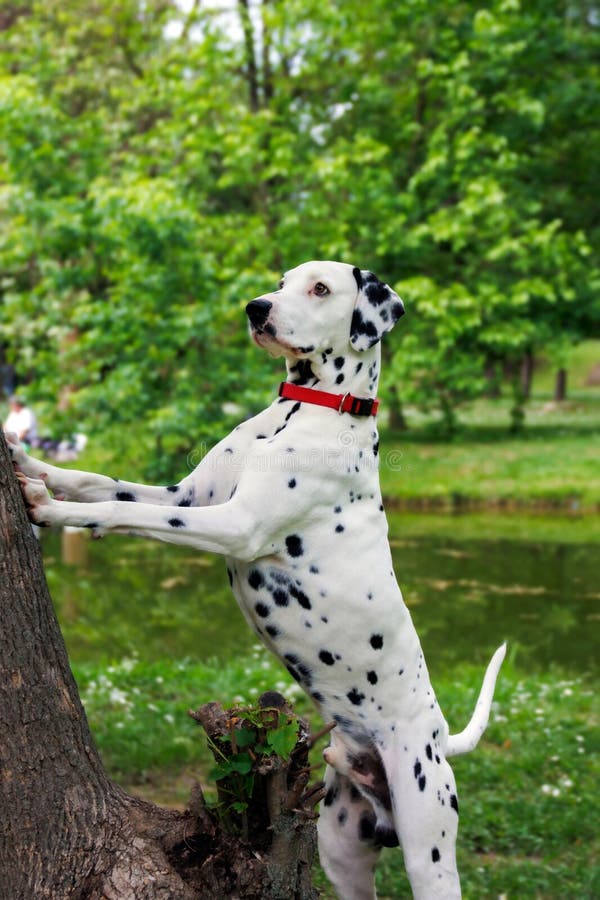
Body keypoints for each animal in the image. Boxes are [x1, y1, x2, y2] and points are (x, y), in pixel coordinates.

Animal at [9, 260, 506, 900]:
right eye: (282, 279)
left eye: (320, 288)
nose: (256, 307)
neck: (308, 408)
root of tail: (440, 735)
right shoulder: (185, 497)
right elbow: (101, 481)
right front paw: (31, 463)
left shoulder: (232, 524)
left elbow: (120, 510)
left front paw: (50, 508)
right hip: (341, 852)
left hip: (430, 850)